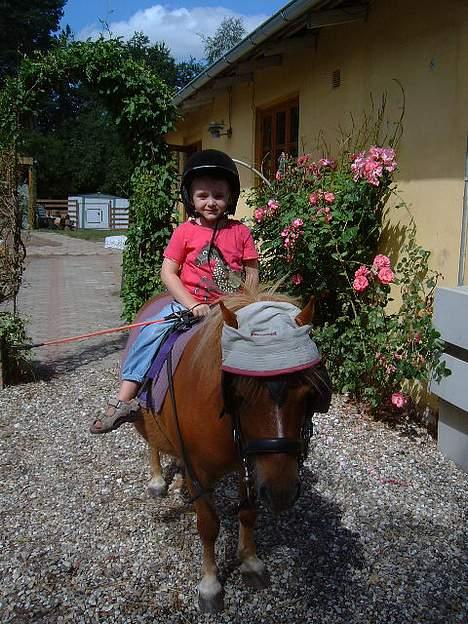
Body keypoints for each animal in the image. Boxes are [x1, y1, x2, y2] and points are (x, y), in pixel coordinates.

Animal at [133, 290, 332, 612]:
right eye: (238, 395)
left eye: (308, 394)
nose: (281, 492)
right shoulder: (201, 471)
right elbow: (208, 525)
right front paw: (210, 585)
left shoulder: (248, 464)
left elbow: (248, 512)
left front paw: (250, 562)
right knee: (152, 437)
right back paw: (158, 480)